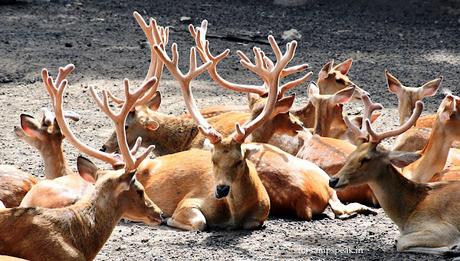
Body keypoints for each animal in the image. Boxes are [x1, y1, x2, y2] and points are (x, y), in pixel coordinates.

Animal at [328, 101, 460, 256]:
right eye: (351, 155)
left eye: (366, 159)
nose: (332, 180)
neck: (406, 216)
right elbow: (398, 241)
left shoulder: (444, 229)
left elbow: (400, 242)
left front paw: (452, 248)